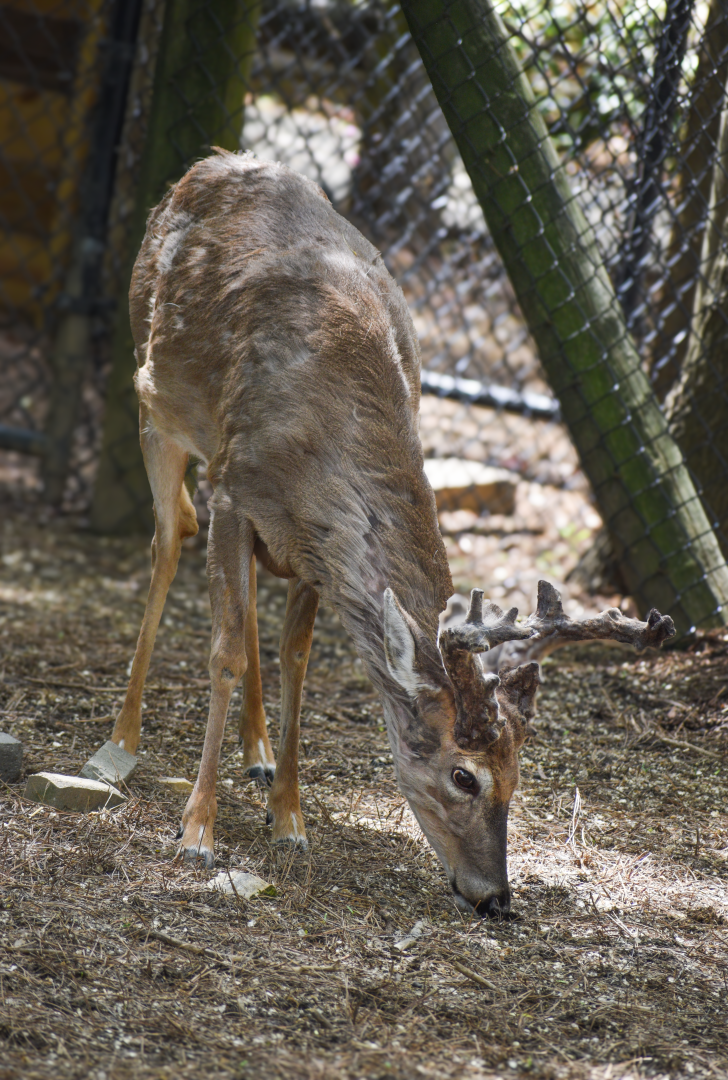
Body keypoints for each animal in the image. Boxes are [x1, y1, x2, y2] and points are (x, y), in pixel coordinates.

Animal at [107, 150, 675, 917]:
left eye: (518, 773)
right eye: (465, 776)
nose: (495, 895)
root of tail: (208, 165)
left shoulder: (312, 543)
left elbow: (296, 660)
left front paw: (290, 819)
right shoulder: (235, 487)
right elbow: (223, 653)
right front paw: (196, 830)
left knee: (245, 603)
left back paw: (257, 757)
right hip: (155, 404)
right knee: (169, 543)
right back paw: (121, 741)